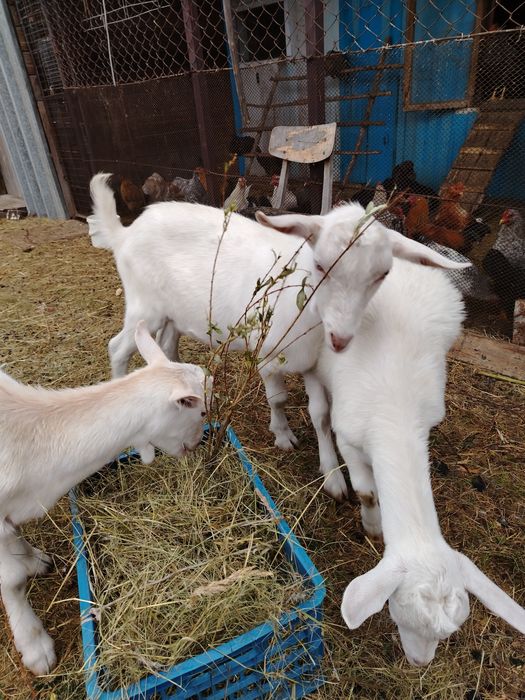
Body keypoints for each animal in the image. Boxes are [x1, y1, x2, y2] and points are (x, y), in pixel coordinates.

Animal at [90, 172, 469, 501]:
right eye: (320, 265)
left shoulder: (313, 363)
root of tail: (125, 233)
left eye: (383, 274)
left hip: (173, 313)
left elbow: (321, 414)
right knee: (118, 347)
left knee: (167, 344)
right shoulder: (269, 357)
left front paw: (332, 476)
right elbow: (278, 399)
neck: (305, 307)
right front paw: (283, 435)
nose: (341, 338)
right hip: (144, 305)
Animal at [314, 259, 525, 664]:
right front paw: (372, 525)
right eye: (400, 612)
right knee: (316, 410)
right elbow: (366, 490)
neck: (395, 409)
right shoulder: (349, 434)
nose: (419, 663)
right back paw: (329, 472)